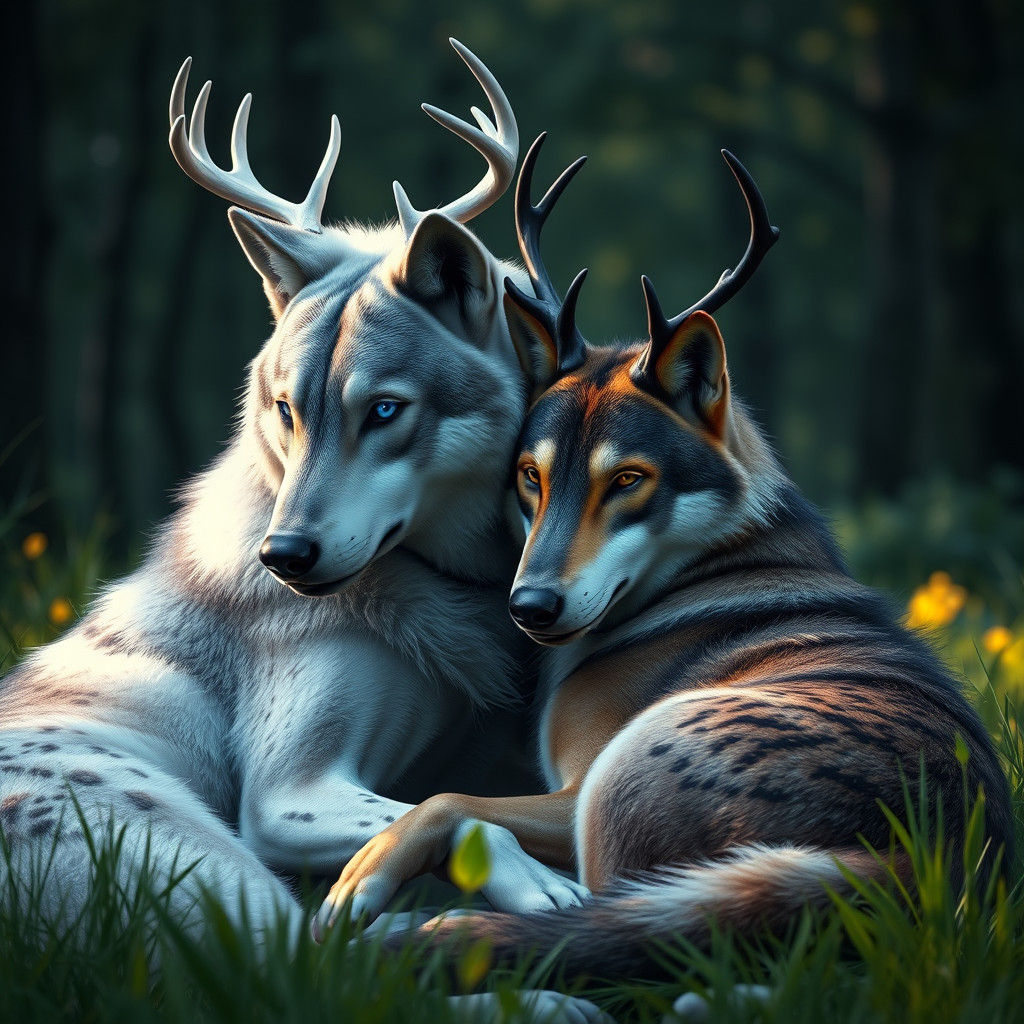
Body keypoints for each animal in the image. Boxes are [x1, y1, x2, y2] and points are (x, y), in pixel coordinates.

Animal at [0, 45, 590, 951]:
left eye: (384, 410)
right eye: (287, 408)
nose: (283, 557)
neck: (447, 588)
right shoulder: (289, 796)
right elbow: (455, 814)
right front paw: (546, 892)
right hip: (209, 859)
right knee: (308, 955)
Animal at [322, 136, 1012, 979]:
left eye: (627, 480)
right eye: (530, 477)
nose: (530, 607)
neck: (709, 570)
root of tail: (927, 860)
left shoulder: (573, 787)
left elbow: (445, 801)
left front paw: (360, 881)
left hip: (614, 790)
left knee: (615, 926)